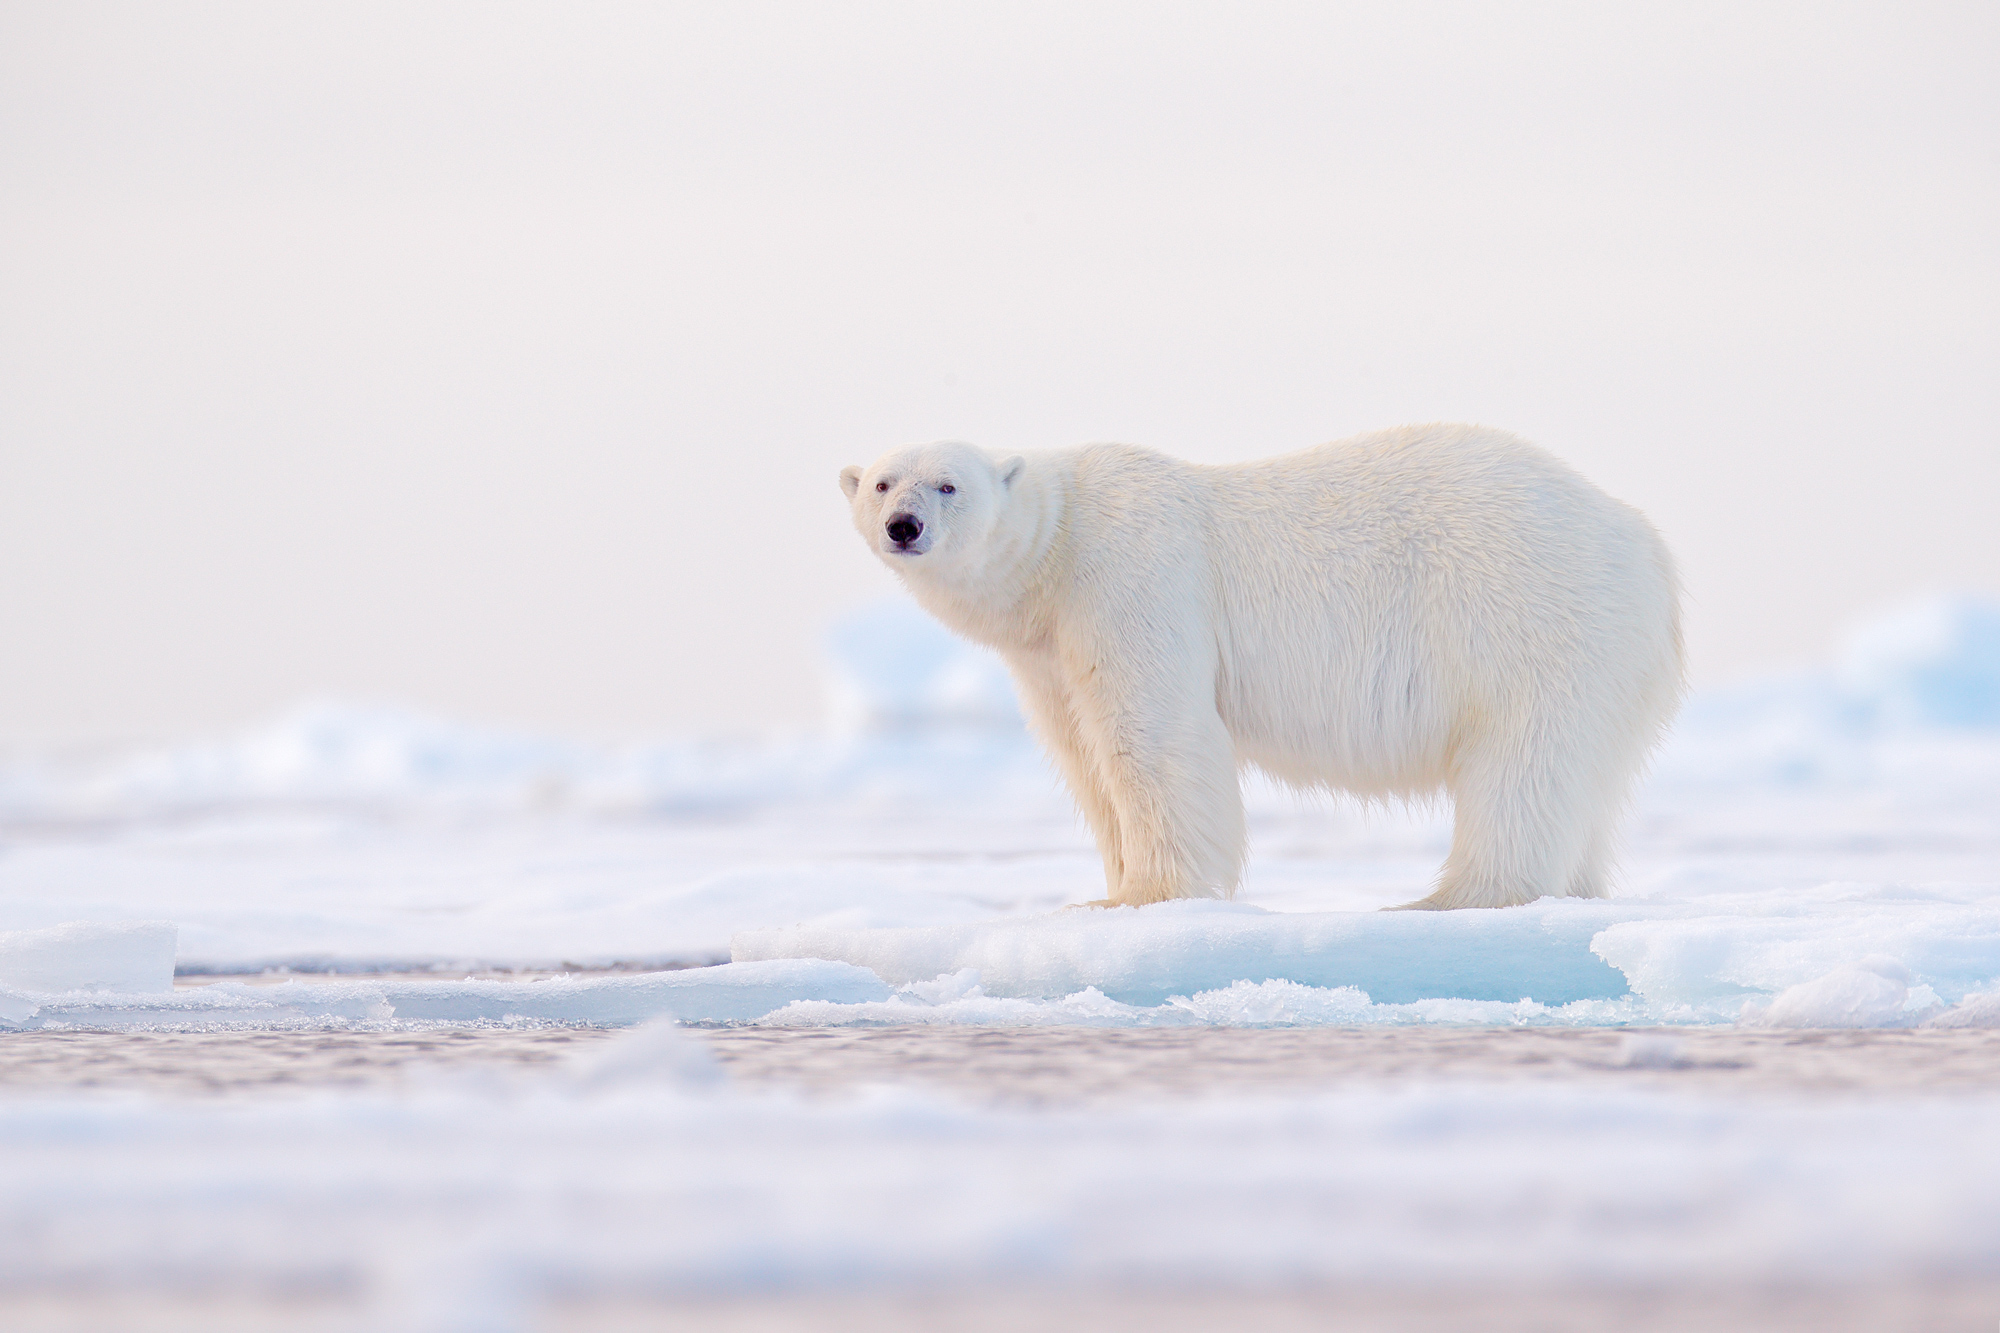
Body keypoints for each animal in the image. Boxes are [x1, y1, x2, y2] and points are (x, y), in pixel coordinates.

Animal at [838, 424, 1684, 909]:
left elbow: (1153, 736)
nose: (904, 525)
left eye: (948, 483)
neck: (1061, 543)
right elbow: (1083, 757)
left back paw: (1453, 898)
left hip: (1527, 616)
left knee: (1522, 762)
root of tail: (1641, 539)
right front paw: (1108, 885)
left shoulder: (1130, 579)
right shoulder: (1046, 651)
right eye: (881, 481)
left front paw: (1140, 896)